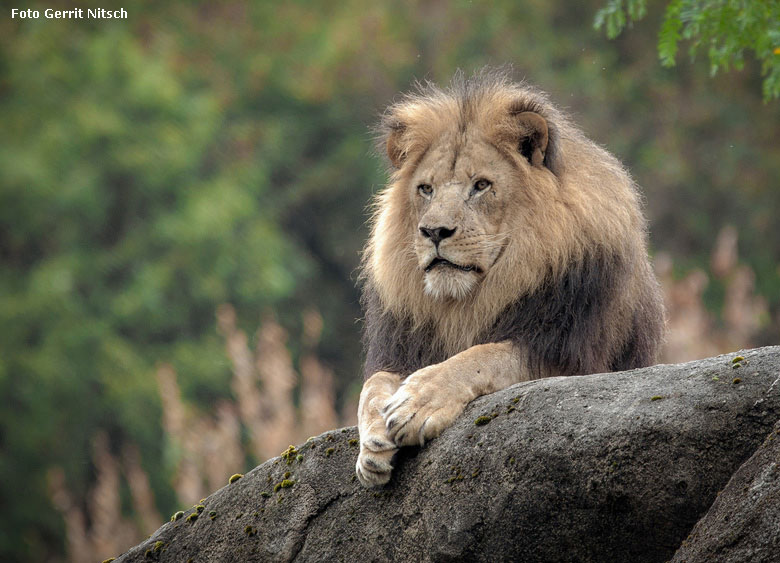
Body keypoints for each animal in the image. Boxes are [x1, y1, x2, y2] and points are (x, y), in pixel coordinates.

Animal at [354, 68, 664, 486]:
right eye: (426, 189)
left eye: (481, 185)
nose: (434, 231)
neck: (465, 302)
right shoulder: (402, 346)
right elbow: (371, 387)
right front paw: (371, 443)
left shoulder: (568, 356)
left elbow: (480, 356)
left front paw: (418, 401)